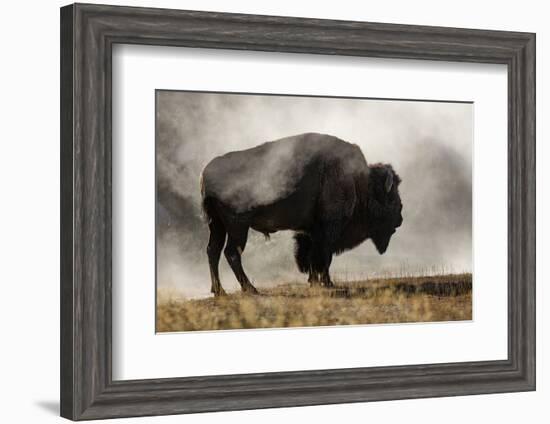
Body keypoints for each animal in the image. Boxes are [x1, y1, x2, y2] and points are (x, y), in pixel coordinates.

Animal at [201, 132, 404, 294]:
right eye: (392, 196)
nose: (400, 219)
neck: (358, 181)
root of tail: (206, 173)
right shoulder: (329, 228)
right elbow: (325, 256)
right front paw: (327, 283)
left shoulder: (312, 231)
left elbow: (314, 256)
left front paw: (314, 282)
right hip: (238, 226)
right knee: (231, 253)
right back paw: (250, 289)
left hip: (217, 225)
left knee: (213, 251)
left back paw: (219, 291)